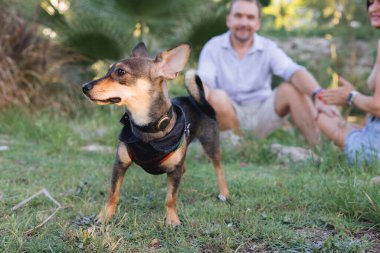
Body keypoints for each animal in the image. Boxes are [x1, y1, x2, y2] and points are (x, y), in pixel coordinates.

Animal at [82, 42, 229, 225]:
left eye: (120, 72)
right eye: (108, 70)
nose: (84, 87)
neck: (147, 127)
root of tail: (196, 100)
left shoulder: (174, 169)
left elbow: (170, 199)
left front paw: (172, 220)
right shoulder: (120, 164)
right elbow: (112, 194)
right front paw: (104, 217)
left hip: (210, 144)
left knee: (219, 169)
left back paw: (224, 193)